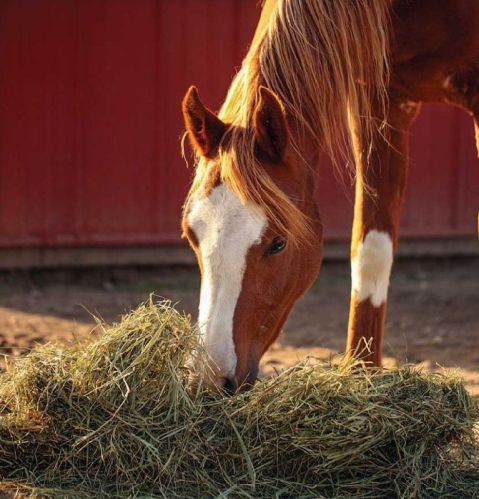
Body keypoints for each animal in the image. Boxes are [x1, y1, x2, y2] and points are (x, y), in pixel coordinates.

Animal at [181, 0, 479, 390]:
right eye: (191, 236)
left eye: (278, 243)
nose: (212, 378)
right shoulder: (379, 103)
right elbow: (371, 253)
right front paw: (362, 375)